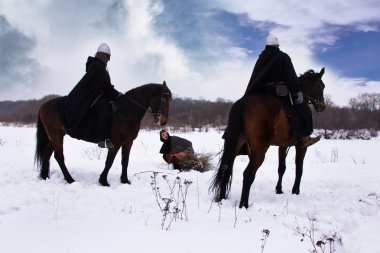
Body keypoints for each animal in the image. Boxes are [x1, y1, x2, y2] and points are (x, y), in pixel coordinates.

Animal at [35, 82, 172, 186]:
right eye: (164, 99)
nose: (164, 121)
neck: (126, 112)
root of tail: (43, 106)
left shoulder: (128, 142)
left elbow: (125, 161)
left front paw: (124, 180)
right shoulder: (115, 143)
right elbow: (109, 162)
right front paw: (103, 181)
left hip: (54, 136)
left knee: (47, 155)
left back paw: (45, 176)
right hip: (56, 135)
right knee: (59, 157)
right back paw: (70, 180)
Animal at [211, 68, 326, 209]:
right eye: (321, 86)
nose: (322, 106)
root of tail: (243, 104)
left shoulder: (283, 146)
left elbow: (281, 168)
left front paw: (279, 190)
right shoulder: (301, 146)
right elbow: (299, 169)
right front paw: (295, 191)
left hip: (236, 144)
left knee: (226, 168)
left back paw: (222, 199)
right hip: (260, 150)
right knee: (248, 174)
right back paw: (244, 205)